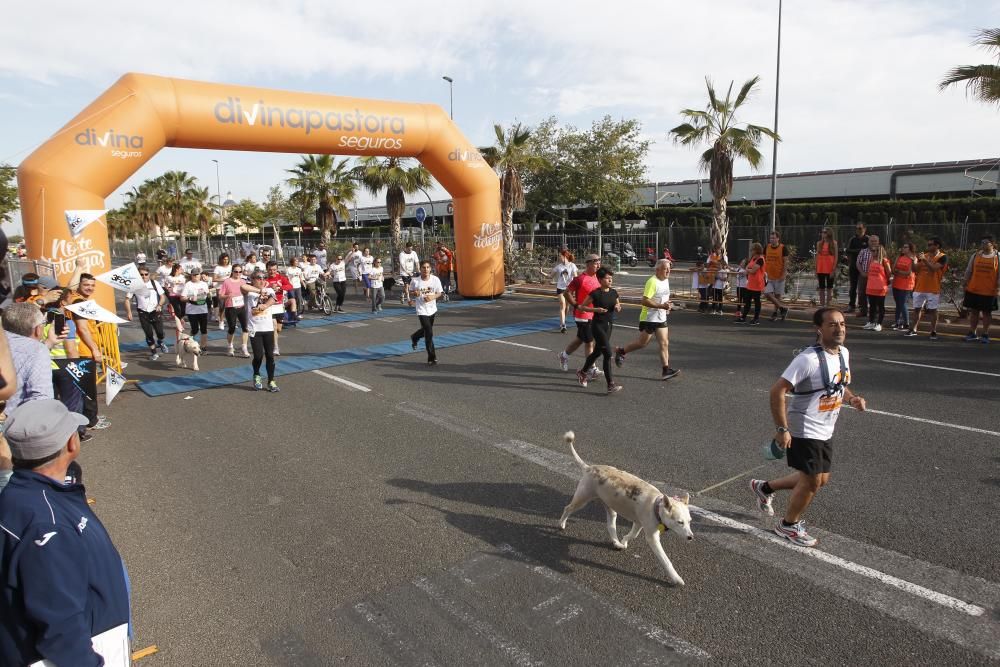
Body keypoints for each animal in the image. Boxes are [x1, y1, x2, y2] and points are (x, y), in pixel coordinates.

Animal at [556, 434, 696, 584]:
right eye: (680, 522)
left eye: (689, 521)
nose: (690, 537)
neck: (655, 505)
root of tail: (589, 467)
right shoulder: (652, 536)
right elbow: (665, 560)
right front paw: (676, 578)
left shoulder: (638, 523)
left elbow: (633, 535)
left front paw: (624, 541)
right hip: (582, 498)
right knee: (568, 508)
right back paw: (561, 524)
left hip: (610, 508)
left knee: (610, 526)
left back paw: (617, 542)